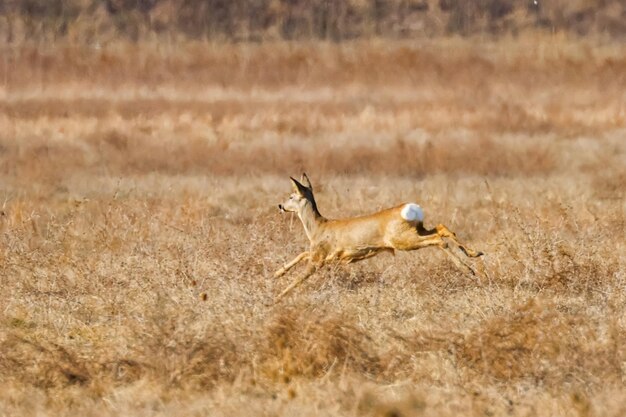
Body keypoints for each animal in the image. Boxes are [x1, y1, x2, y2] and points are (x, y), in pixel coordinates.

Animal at [272, 172, 482, 302]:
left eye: (291, 196)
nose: (280, 206)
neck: (317, 227)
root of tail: (411, 208)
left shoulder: (319, 258)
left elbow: (299, 278)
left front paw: (277, 297)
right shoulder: (323, 255)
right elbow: (301, 255)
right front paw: (277, 274)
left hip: (403, 240)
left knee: (439, 239)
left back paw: (468, 268)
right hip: (415, 231)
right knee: (442, 229)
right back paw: (474, 256)